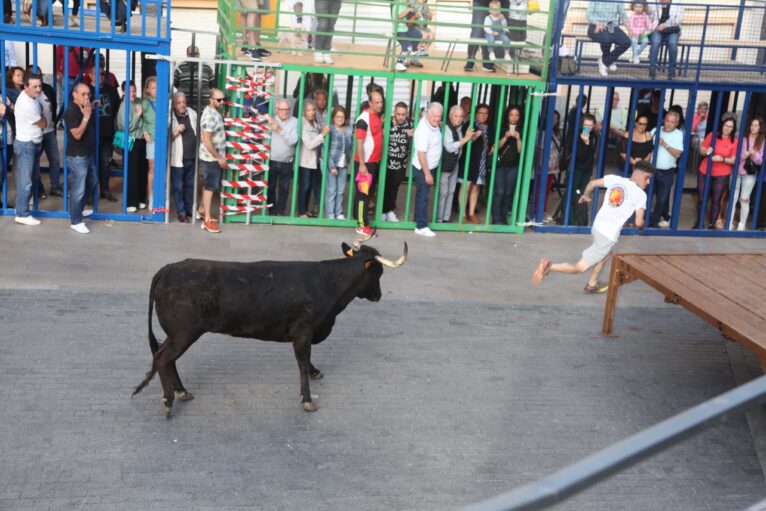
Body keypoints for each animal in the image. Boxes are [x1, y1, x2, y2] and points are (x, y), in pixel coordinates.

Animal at [134, 242, 408, 418]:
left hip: (177, 334)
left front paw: (315, 373)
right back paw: (168, 401)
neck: (327, 282)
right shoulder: (303, 332)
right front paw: (307, 400)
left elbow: (306, 363)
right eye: (378, 272)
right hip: (183, 333)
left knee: (164, 357)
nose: (378, 296)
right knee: (162, 359)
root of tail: (168, 268)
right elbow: (302, 362)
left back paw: (181, 391)